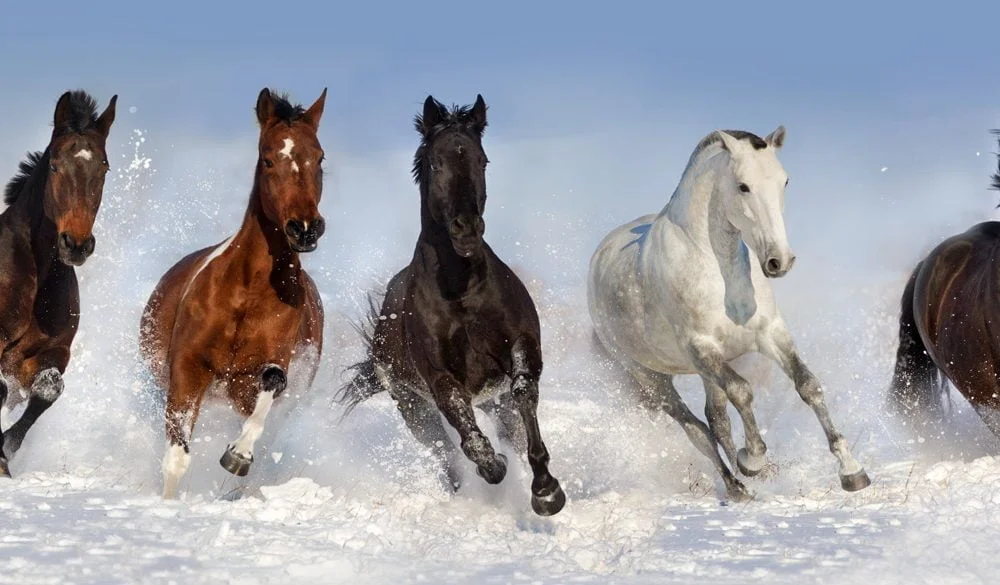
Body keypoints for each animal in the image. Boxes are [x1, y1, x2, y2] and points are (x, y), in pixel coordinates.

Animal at [0, 90, 117, 477]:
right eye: (54, 165)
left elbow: (48, 389)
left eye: (104, 167)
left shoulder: (53, 352)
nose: (76, 244)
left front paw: (3, 455)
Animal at [139, 88, 327, 498]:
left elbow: (271, 384)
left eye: (320, 158)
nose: (305, 228)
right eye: (268, 158)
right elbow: (176, 455)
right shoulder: (187, 367)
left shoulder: (260, 374)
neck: (247, 293)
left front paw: (238, 456)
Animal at [337, 95, 566, 517]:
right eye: (435, 162)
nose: (466, 228)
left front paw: (545, 491)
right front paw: (494, 466)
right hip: (413, 408)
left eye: (482, 160)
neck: (460, 291)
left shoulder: (520, 348)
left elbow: (525, 391)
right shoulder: (440, 379)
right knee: (444, 453)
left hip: (493, 400)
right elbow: (468, 434)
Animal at [587, 128, 870, 501]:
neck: (716, 268)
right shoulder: (701, 347)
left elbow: (808, 385)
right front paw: (753, 458)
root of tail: (599, 257)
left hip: (705, 373)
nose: (779, 261)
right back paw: (737, 485)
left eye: (784, 181)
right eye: (743, 186)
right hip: (652, 378)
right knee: (696, 428)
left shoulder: (769, 333)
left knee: (716, 419)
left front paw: (852, 471)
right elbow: (742, 391)